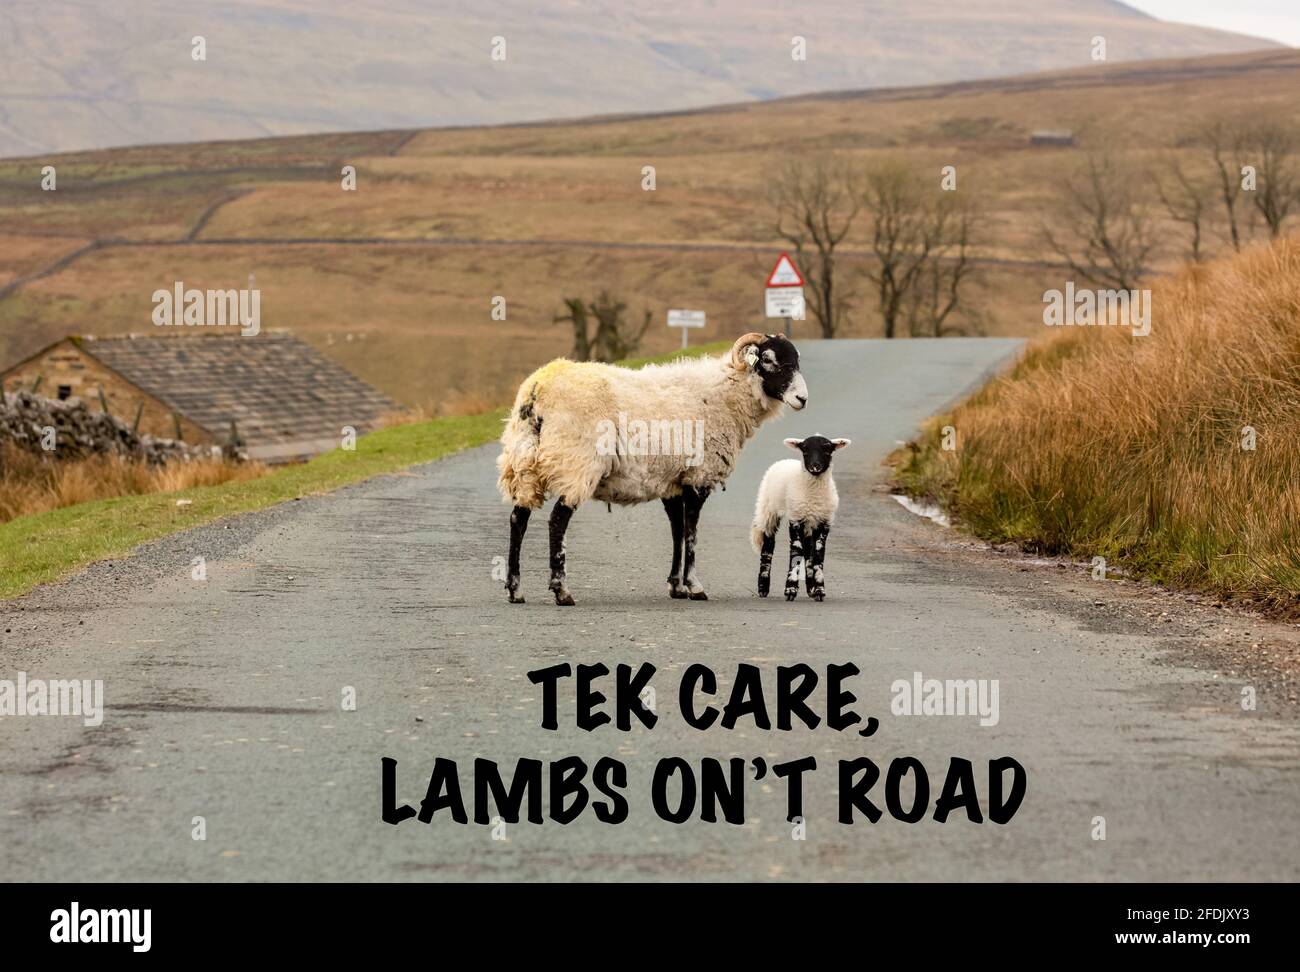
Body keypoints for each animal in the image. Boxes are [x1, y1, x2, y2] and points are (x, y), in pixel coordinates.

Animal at [493, 337, 806, 602]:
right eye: (768, 359)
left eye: (796, 359)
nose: (802, 399)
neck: (724, 395)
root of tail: (537, 390)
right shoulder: (698, 476)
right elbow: (691, 533)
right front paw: (694, 586)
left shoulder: (673, 482)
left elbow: (677, 531)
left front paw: (676, 586)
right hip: (576, 464)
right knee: (557, 521)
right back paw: (561, 591)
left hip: (524, 465)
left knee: (518, 519)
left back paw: (515, 590)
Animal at [754, 434, 852, 600]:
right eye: (805, 450)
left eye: (827, 450)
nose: (815, 466)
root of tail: (784, 461)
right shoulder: (796, 519)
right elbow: (796, 552)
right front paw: (790, 589)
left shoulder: (824, 521)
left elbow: (818, 555)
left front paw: (819, 589)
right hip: (769, 510)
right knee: (768, 547)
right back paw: (763, 587)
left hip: (808, 521)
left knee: (808, 551)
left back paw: (810, 588)